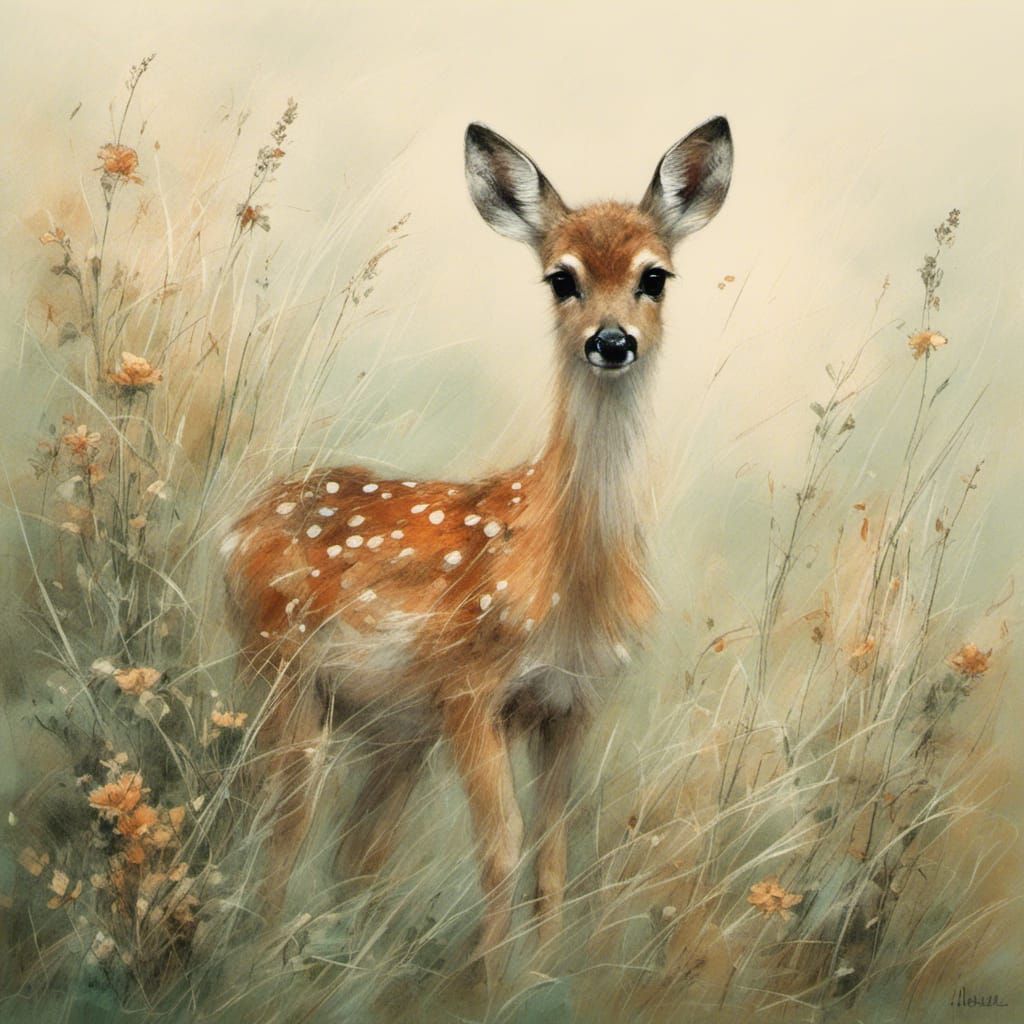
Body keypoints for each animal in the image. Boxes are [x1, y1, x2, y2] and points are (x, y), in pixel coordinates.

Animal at [221, 116, 733, 977]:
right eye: (560, 278)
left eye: (654, 276)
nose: (612, 341)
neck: (564, 576)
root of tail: (233, 528)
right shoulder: (468, 686)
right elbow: (500, 848)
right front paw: (493, 983)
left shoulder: (572, 703)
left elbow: (552, 859)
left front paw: (540, 976)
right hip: (282, 676)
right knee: (280, 828)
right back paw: (257, 963)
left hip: (392, 731)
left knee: (354, 852)